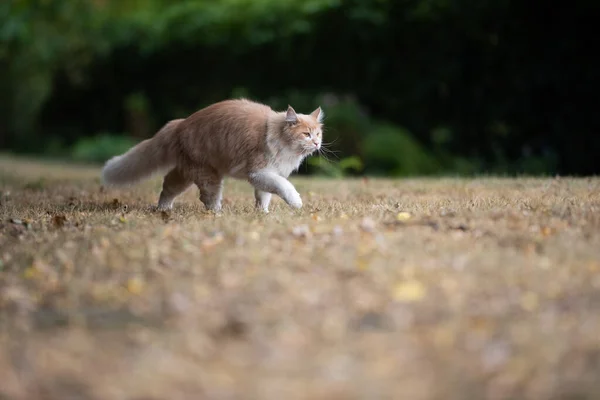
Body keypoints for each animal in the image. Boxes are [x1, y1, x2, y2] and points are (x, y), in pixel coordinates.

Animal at [101, 98, 324, 212]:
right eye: (306, 134)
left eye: (318, 133)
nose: (317, 143)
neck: (275, 134)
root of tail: (180, 123)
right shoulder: (259, 172)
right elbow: (284, 187)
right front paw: (295, 202)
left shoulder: (268, 174)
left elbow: (264, 196)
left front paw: (263, 214)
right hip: (207, 175)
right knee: (207, 198)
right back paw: (217, 213)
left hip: (187, 172)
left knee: (168, 186)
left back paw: (164, 208)